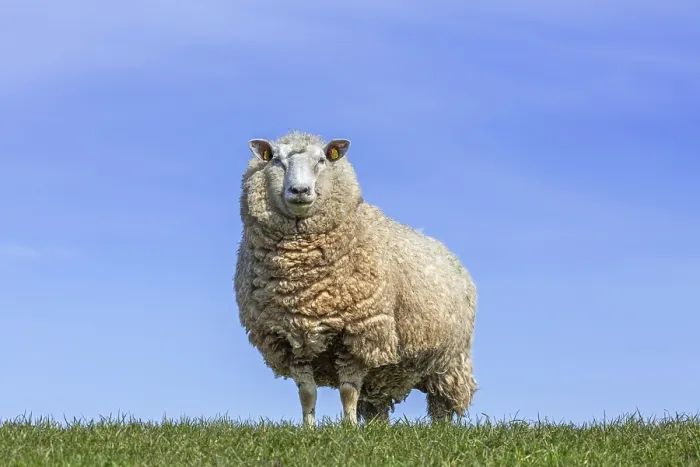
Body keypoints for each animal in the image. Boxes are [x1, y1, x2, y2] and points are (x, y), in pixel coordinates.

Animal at [234, 130, 477, 426]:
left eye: (322, 160)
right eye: (276, 161)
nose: (300, 191)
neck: (301, 280)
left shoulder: (359, 333)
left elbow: (348, 391)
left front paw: (348, 428)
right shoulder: (291, 339)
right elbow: (307, 393)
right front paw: (307, 429)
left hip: (449, 361)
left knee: (442, 404)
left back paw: (439, 428)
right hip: (386, 372)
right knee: (376, 403)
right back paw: (376, 428)